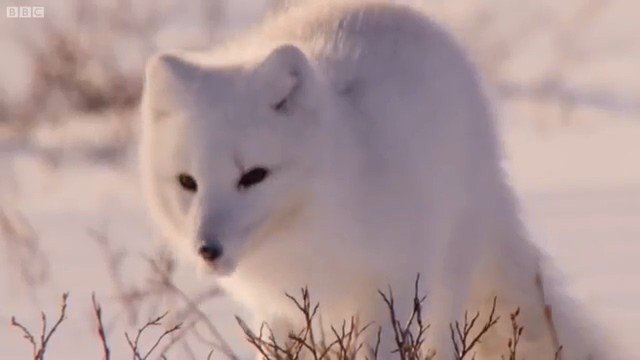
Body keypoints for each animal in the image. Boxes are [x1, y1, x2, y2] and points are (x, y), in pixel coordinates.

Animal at [141, 1, 616, 358]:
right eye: (188, 182)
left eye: (253, 176)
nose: (207, 250)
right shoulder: (275, 310)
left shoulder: (389, 289)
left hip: (448, 269)